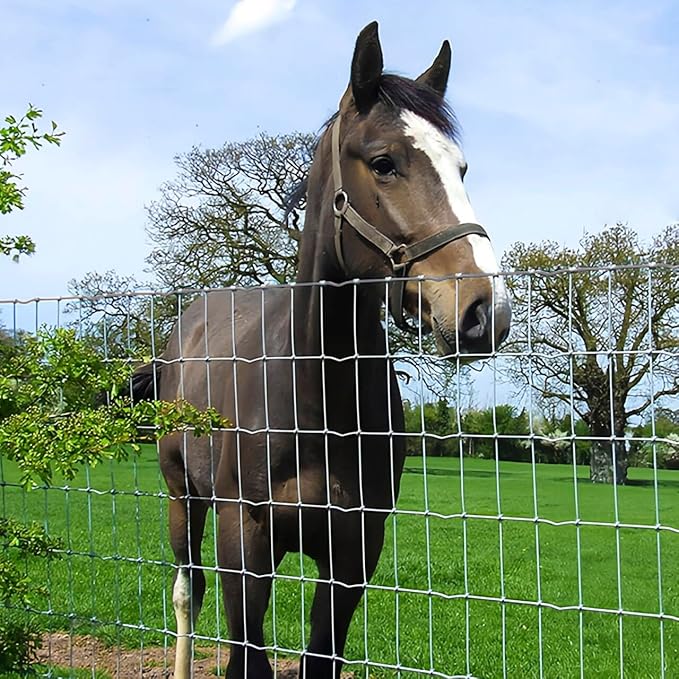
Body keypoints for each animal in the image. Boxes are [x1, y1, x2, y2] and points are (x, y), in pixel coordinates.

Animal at [133, 21, 511, 679]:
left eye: (461, 168)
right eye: (383, 163)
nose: (484, 310)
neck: (317, 402)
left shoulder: (354, 556)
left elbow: (319, 657)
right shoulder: (245, 545)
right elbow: (245, 654)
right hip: (183, 498)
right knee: (186, 592)